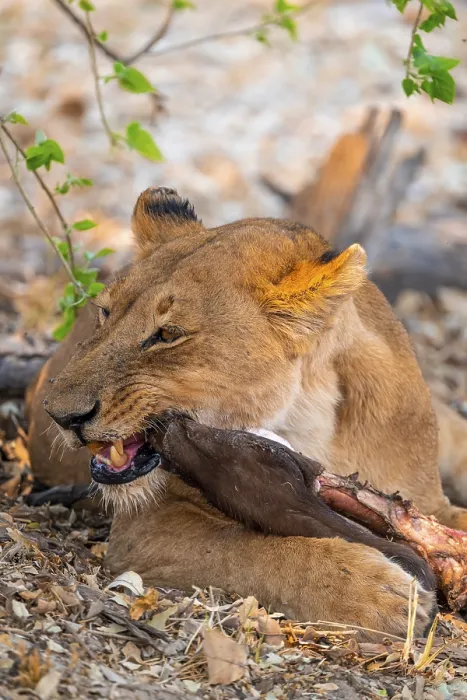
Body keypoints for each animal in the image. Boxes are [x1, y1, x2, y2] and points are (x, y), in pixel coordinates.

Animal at [27, 187, 467, 639]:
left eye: (167, 334)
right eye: (104, 313)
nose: (60, 415)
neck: (313, 422)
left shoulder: (426, 500)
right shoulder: (145, 525)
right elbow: (246, 550)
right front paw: (379, 593)